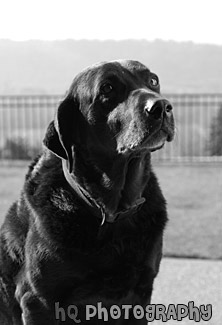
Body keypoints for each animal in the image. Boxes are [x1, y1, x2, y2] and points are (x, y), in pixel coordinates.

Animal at [0, 59, 174, 322]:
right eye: (107, 88)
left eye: (153, 80)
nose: (162, 107)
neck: (112, 209)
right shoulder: (37, 300)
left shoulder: (141, 292)